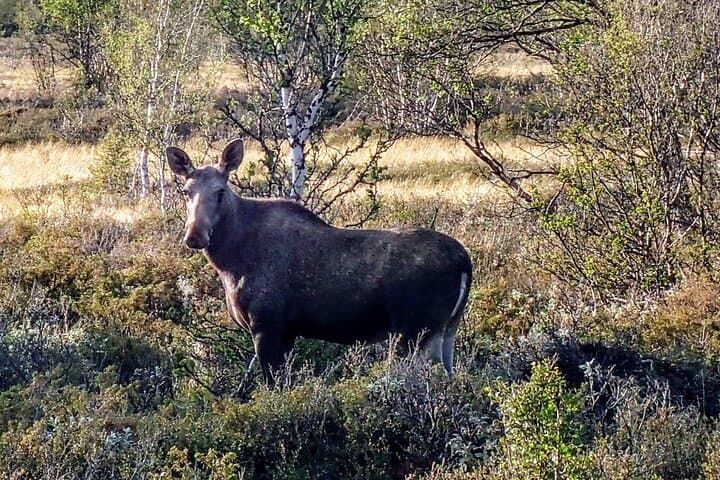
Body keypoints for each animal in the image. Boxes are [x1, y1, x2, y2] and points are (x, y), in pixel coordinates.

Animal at [167, 139, 473, 382]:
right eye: (186, 191)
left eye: (220, 191)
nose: (195, 236)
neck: (229, 263)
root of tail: (465, 263)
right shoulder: (287, 332)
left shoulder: (267, 325)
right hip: (447, 329)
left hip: (415, 331)